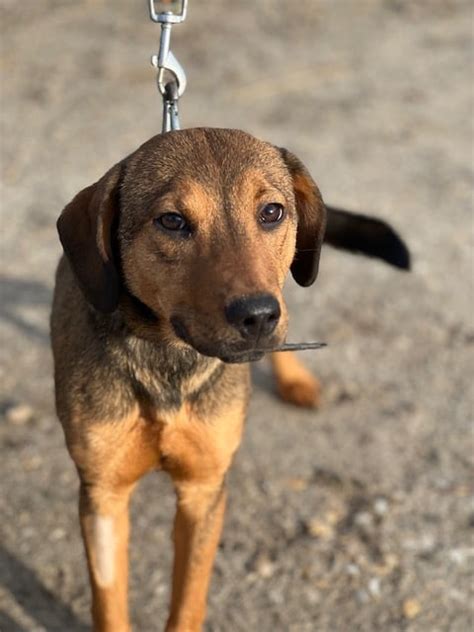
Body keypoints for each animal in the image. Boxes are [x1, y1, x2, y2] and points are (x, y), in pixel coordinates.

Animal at [51, 126, 408, 628]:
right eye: (172, 221)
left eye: (272, 211)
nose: (257, 315)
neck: (170, 365)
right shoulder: (103, 496)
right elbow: (108, 601)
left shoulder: (204, 491)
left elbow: (188, 600)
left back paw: (293, 378)